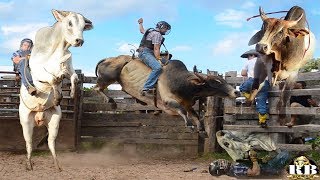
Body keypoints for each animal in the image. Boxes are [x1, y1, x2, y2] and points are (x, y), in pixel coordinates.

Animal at [19, 9, 92, 170]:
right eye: (69, 23)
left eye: (84, 26)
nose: (79, 41)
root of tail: (39, 118)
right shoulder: (39, 74)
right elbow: (52, 79)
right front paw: (58, 96)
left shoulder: (70, 68)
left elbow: (73, 77)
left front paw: (70, 93)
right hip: (26, 121)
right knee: (29, 144)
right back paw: (29, 165)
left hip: (54, 121)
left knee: (50, 143)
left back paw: (57, 165)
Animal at [94, 55, 239, 133]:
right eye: (215, 82)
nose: (236, 91)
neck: (184, 83)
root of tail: (108, 59)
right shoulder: (168, 101)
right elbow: (182, 111)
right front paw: (190, 125)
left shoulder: (187, 105)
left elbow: (195, 115)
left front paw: (201, 129)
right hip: (108, 77)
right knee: (97, 88)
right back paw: (112, 102)